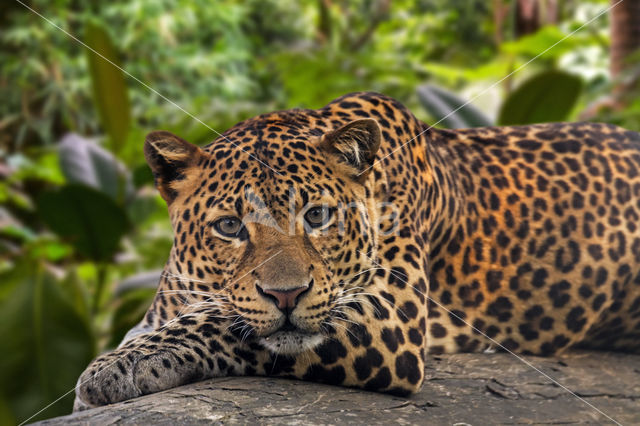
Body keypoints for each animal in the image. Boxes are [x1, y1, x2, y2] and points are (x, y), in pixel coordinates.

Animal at [75, 90, 640, 410]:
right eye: (231, 226)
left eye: (317, 216)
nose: (287, 295)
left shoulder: (393, 312)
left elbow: (221, 321)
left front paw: (118, 367)